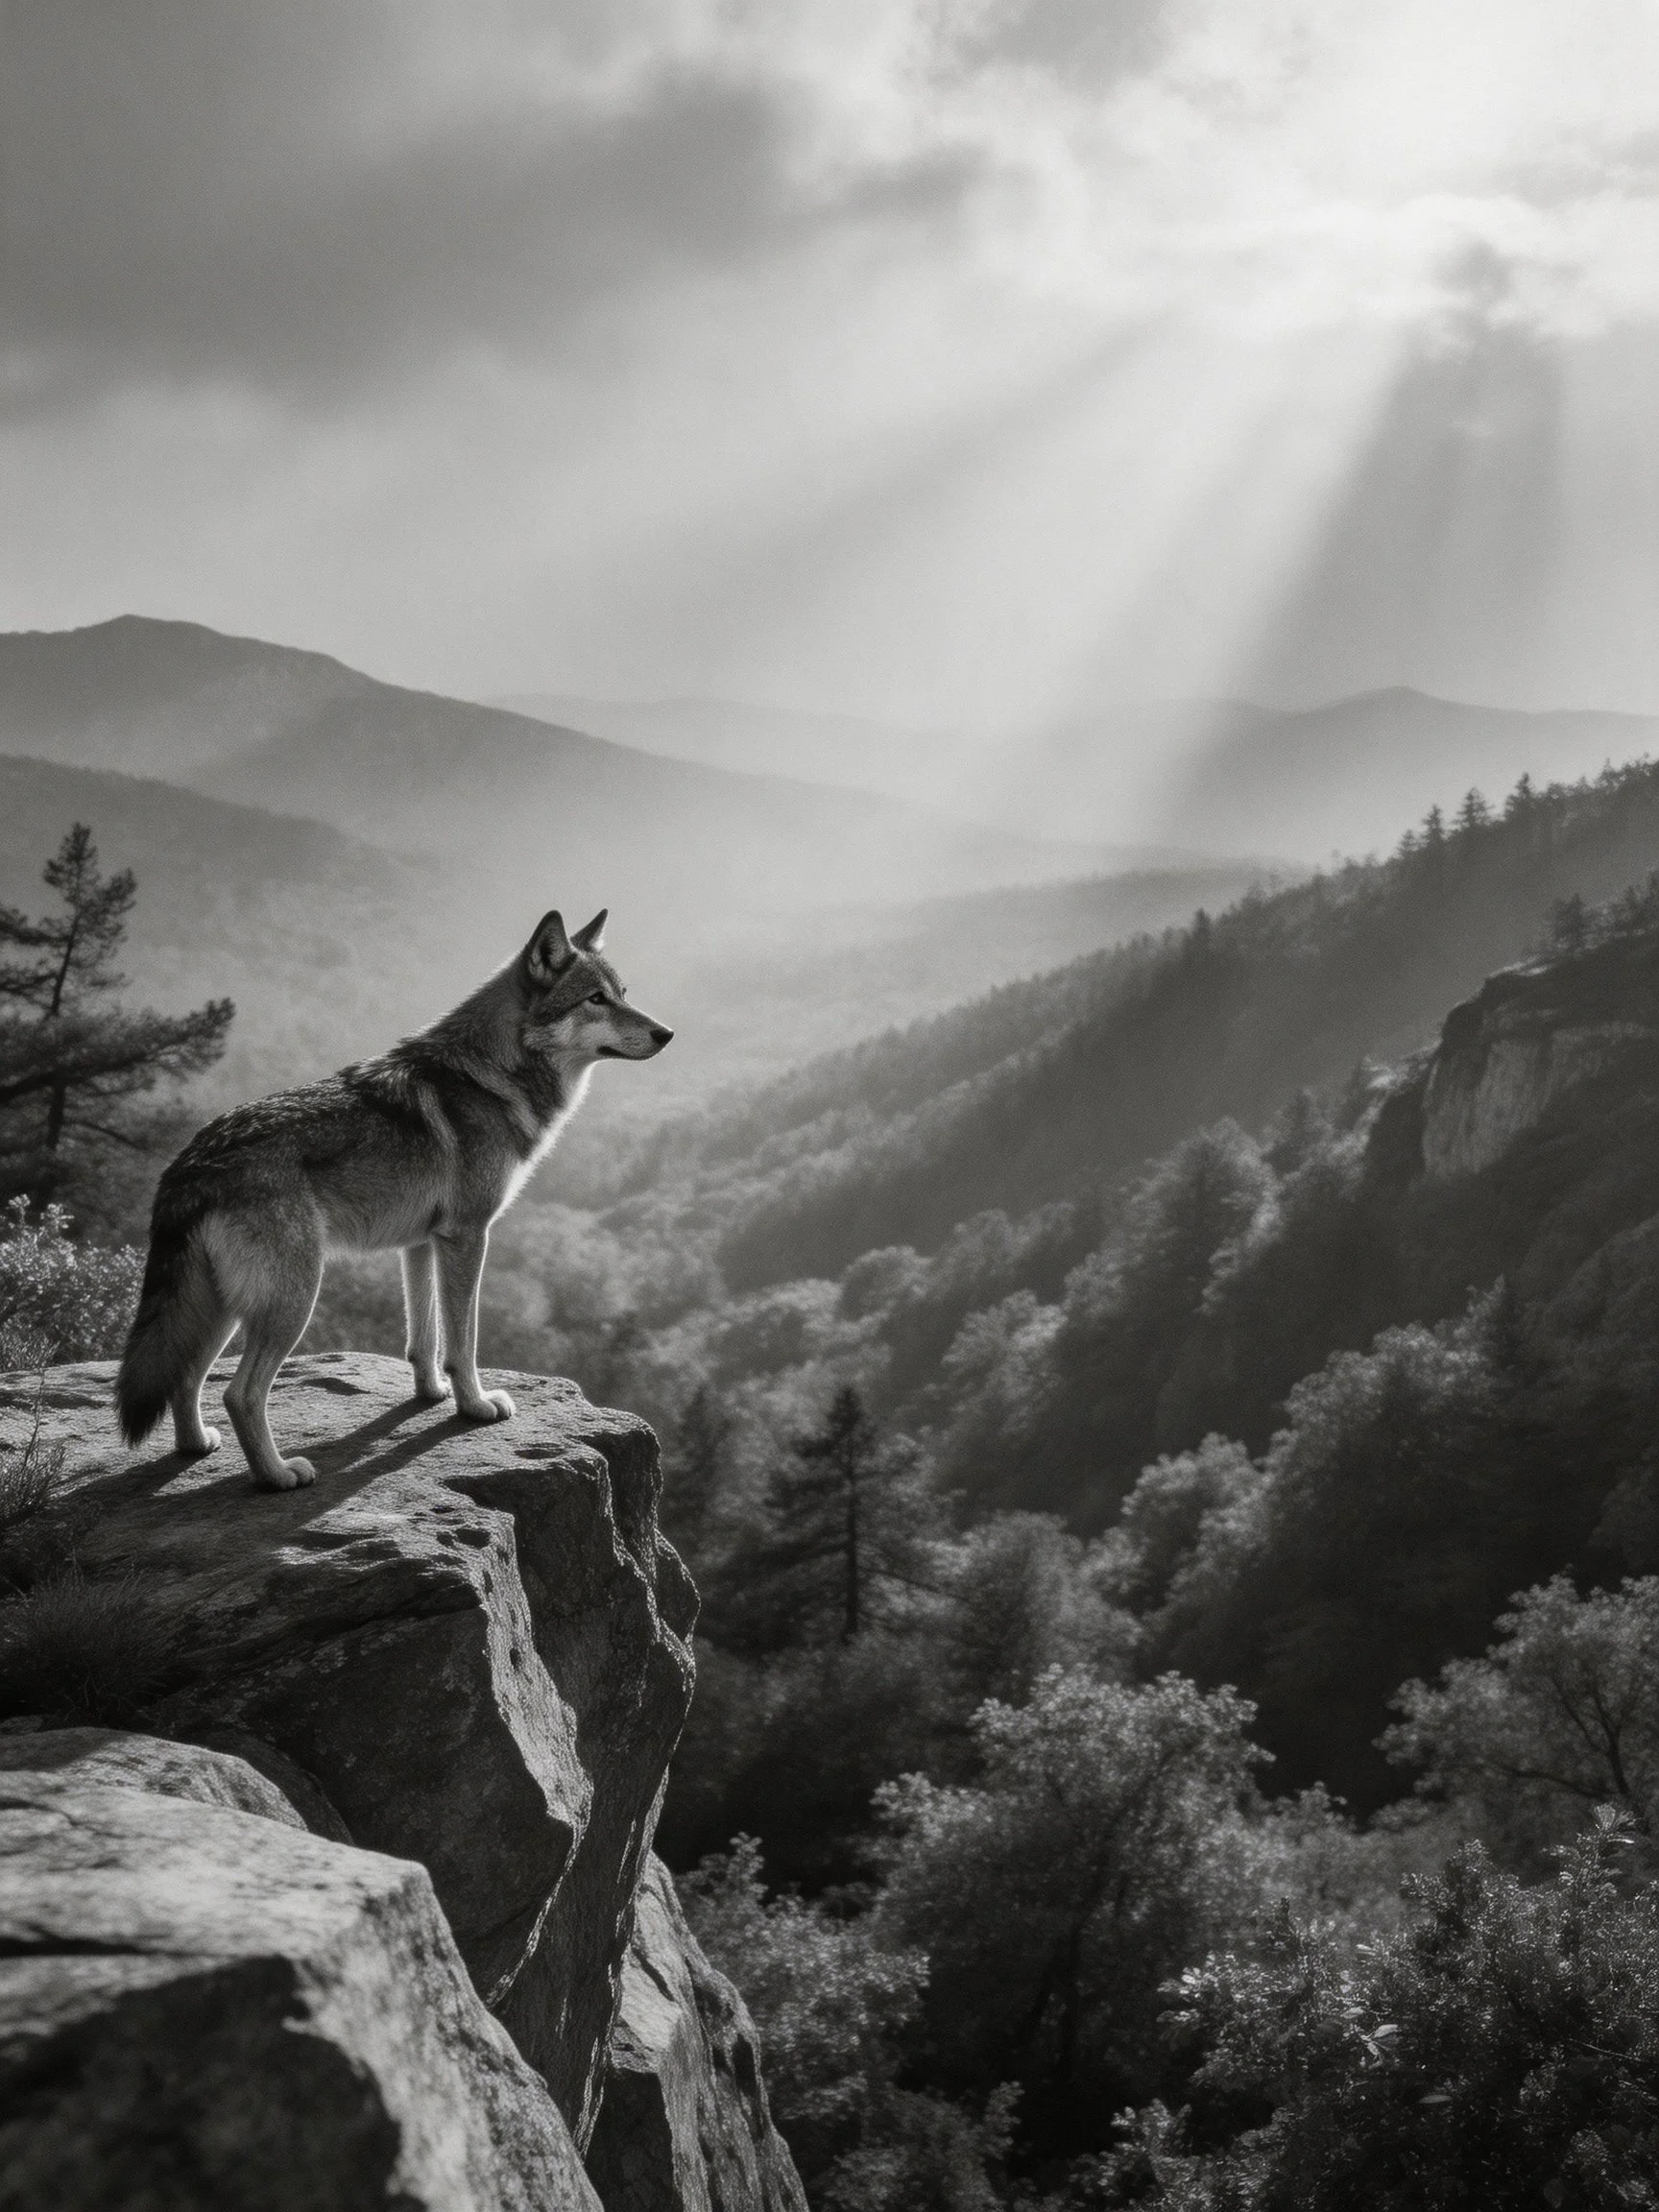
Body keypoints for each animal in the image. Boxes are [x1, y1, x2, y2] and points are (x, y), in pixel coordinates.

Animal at [116, 908, 671, 1491]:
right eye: (595, 999)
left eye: (622, 994)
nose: (667, 1033)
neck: (492, 1074)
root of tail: (189, 1161)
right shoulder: (468, 1235)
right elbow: (463, 1340)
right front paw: (475, 1406)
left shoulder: (422, 1243)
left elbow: (424, 1339)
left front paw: (431, 1396)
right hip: (292, 1300)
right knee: (239, 1394)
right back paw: (278, 1475)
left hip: (221, 1307)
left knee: (185, 1378)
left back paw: (197, 1446)